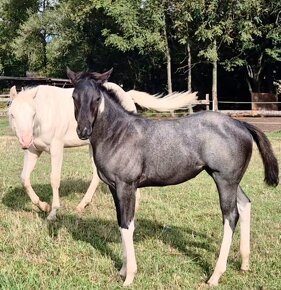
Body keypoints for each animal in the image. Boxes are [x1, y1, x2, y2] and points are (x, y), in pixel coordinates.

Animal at [9, 83, 197, 220]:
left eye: (33, 114)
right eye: (12, 115)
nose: (25, 140)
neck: (45, 115)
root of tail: (126, 93)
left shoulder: (56, 148)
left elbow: (54, 179)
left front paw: (53, 212)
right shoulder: (33, 150)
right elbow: (24, 178)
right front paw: (43, 206)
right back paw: (82, 205)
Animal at [66, 68, 278, 288]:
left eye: (97, 98)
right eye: (74, 97)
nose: (83, 131)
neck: (118, 134)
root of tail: (241, 123)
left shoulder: (127, 187)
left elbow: (127, 226)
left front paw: (129, 276)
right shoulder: (113, 188)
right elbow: (120, 223)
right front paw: (122, 270)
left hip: (225, 181)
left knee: (230, 216)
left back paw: (215, 275)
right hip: (232, 181)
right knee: (245, 205)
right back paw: (244, 263)